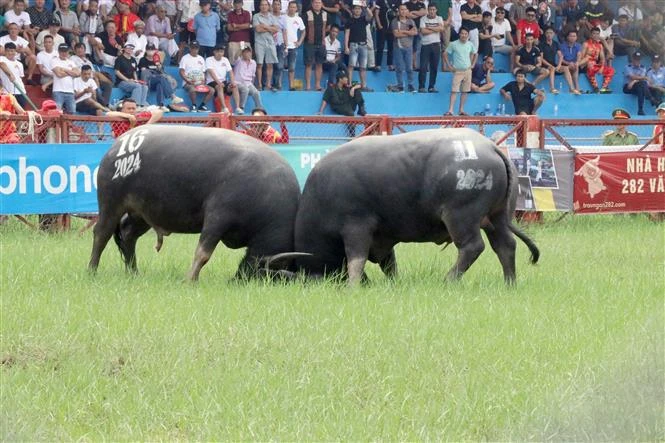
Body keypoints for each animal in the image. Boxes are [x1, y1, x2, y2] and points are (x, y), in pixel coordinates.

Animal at [87, 125, 298, 280]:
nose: (237, 279)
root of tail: (117, 145)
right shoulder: (217, 217)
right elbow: (203, 253)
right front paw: (190, 279)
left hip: (142, 213)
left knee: (128, 234)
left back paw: (134, 272)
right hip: (111, 203)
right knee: (101, 234)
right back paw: (92, 270)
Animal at [296, 127, 540, 284]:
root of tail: (490, 147)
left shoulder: (356, 227)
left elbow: (356, 259)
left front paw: (353, 285)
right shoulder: (382, 236)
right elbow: (389, 263)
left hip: (461, 217)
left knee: (472, 247)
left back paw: (449, 280)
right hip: (497, 218)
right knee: (506, 245)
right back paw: (510, 282)